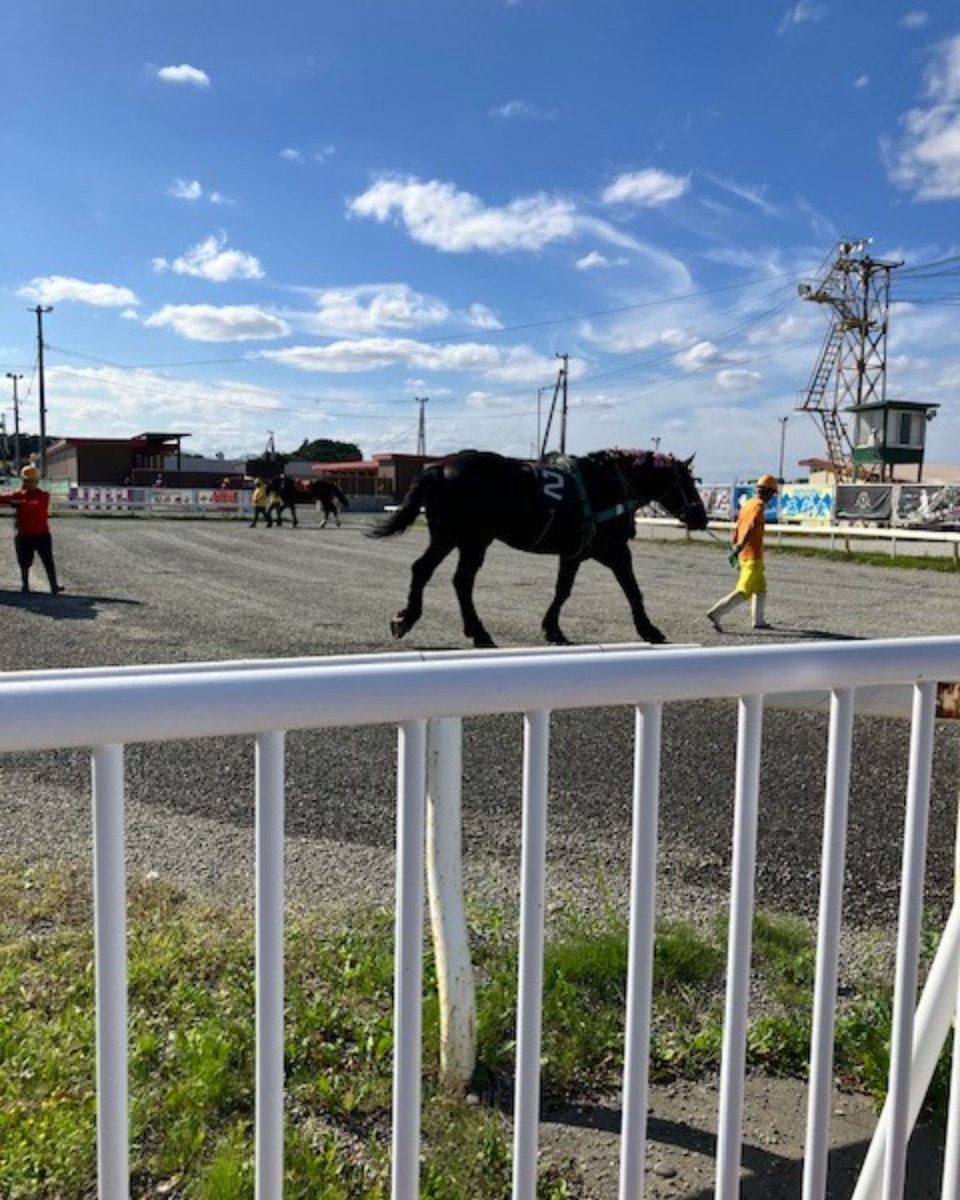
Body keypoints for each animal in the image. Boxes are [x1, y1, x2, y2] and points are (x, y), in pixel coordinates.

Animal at [372, 446, 710, 648]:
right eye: (689, 482)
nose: (701, 517)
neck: (607, 484)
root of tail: (440, 469)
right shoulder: (614, 550)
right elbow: (632, 589)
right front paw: (649, 629)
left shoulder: (575, 553)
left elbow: (563, 589)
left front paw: (552, 628)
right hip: (469, 538)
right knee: (458, 580)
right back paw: (477, 631)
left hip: (452, 537)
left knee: (429, 571)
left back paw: (410, 618)